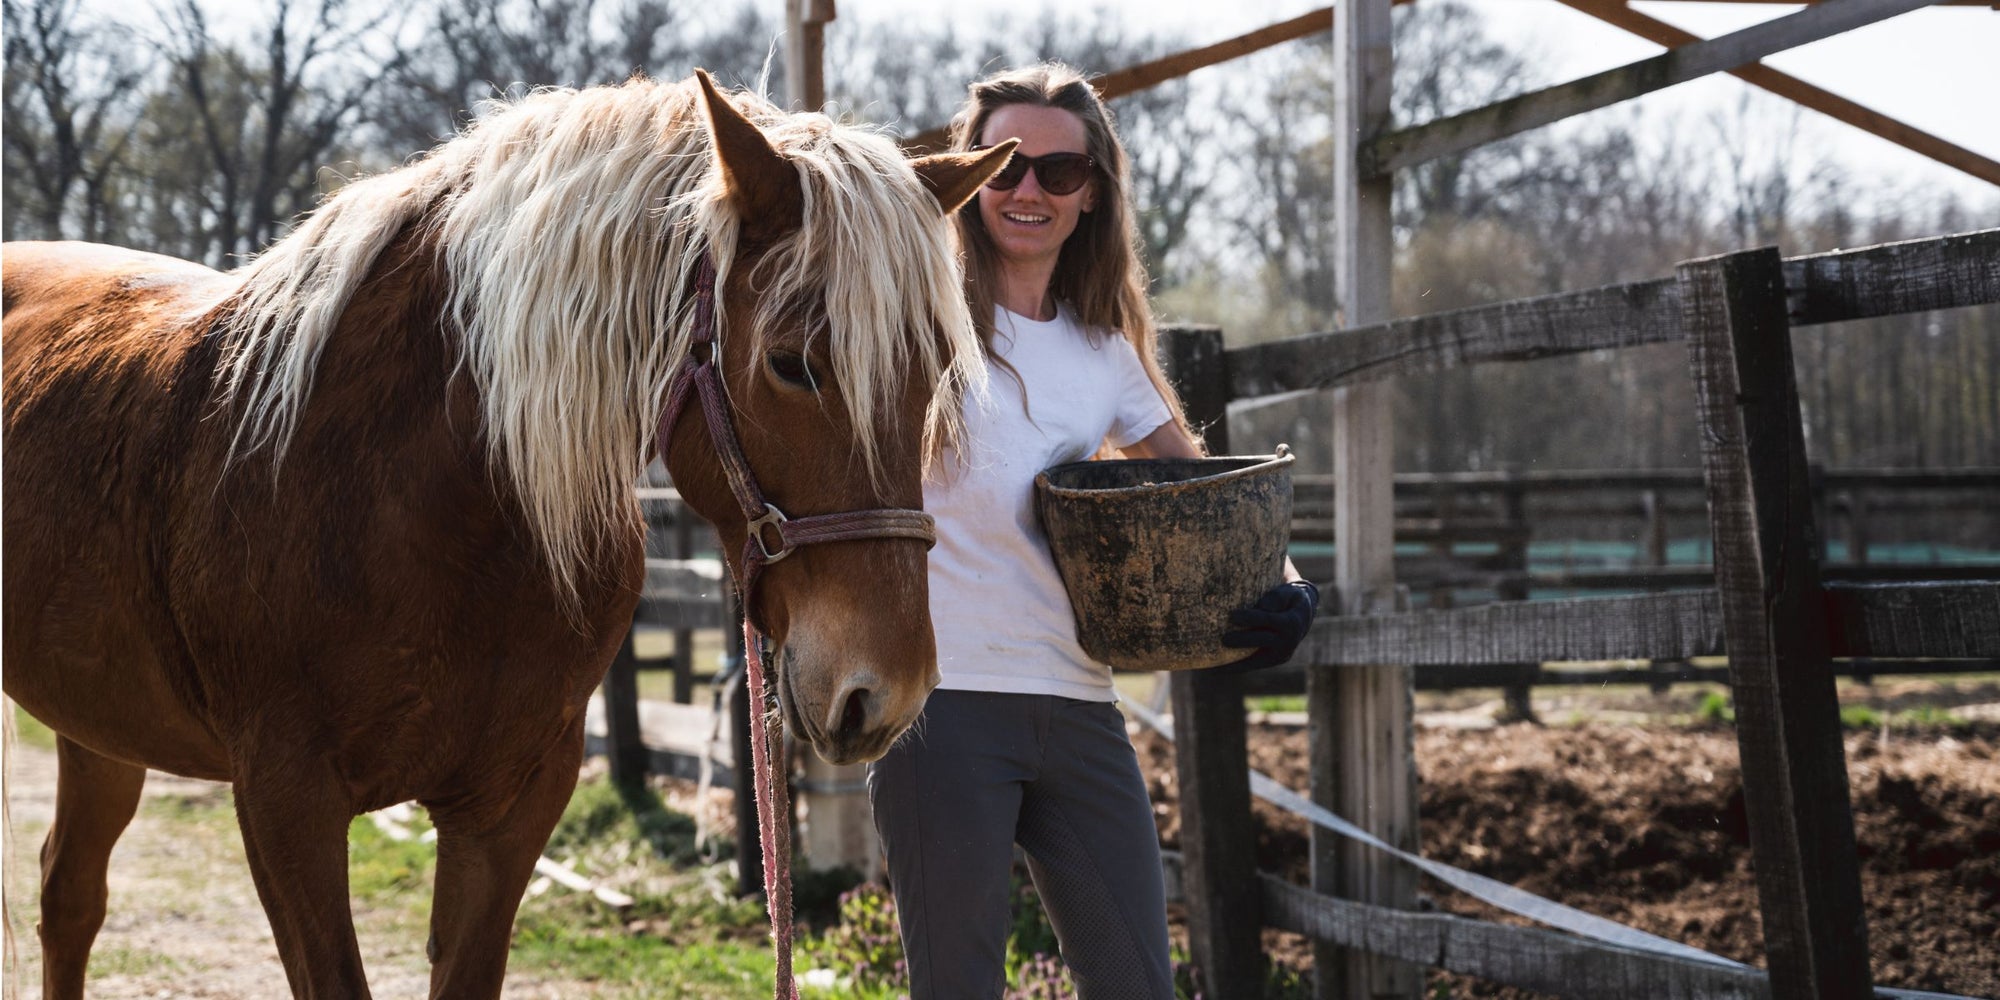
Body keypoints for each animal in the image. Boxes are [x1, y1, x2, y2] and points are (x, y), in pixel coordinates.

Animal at [7, 72, 1016, 1000]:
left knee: (69, 896)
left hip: (102, 729)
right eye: (790, 363)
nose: (883, 692)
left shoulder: (509, 807)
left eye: (935, 370)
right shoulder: (285, 803)